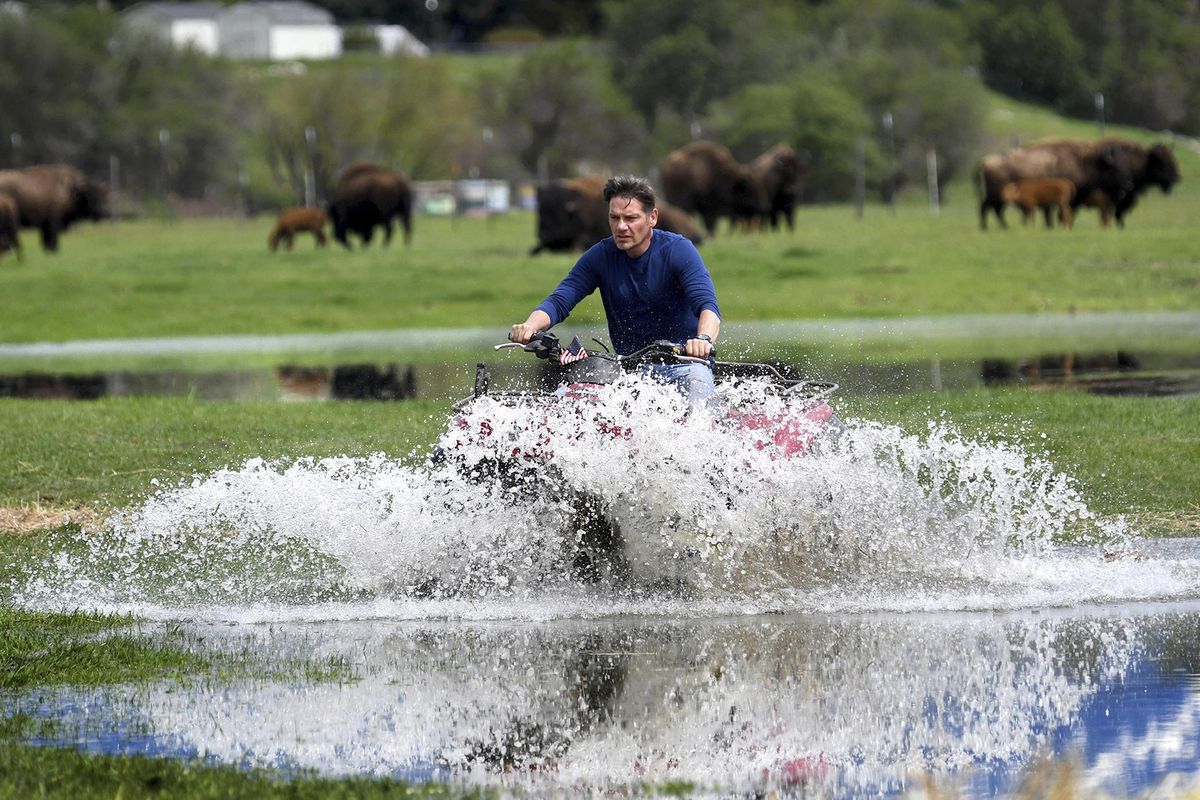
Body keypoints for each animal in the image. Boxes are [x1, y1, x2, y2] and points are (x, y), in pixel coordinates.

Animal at [974, 138, 1132, 227]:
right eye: (1114, 169)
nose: (1127, 185)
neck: (1082, 163)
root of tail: (985, 162)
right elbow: (1058, 213)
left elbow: (1051, 214)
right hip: (996, 196)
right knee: (988, 208)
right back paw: (992, 227)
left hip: (997, 197)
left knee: (991, 209)